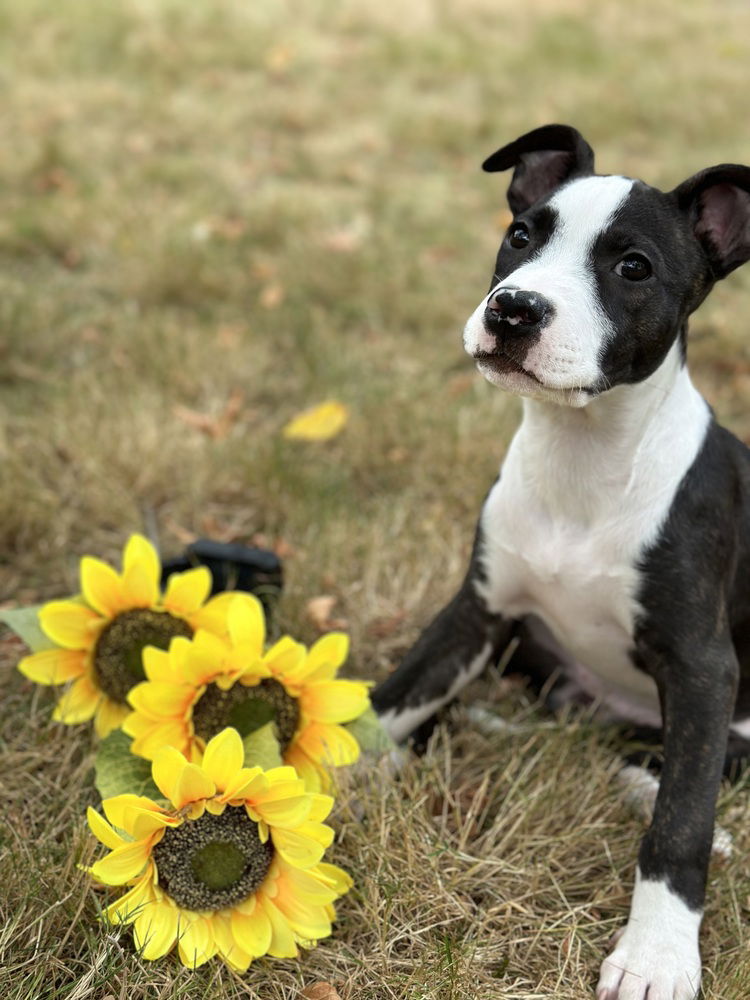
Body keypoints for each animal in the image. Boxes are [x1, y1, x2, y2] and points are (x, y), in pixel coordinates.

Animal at [374, 125, 750, 1000]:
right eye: (521, 236)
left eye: (634, 267)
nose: (513, 310)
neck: (585, 456)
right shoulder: (477, 609)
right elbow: (395, 698)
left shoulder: (703, 667)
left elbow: (679, 825)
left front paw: (656, 956)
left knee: (690, 768)